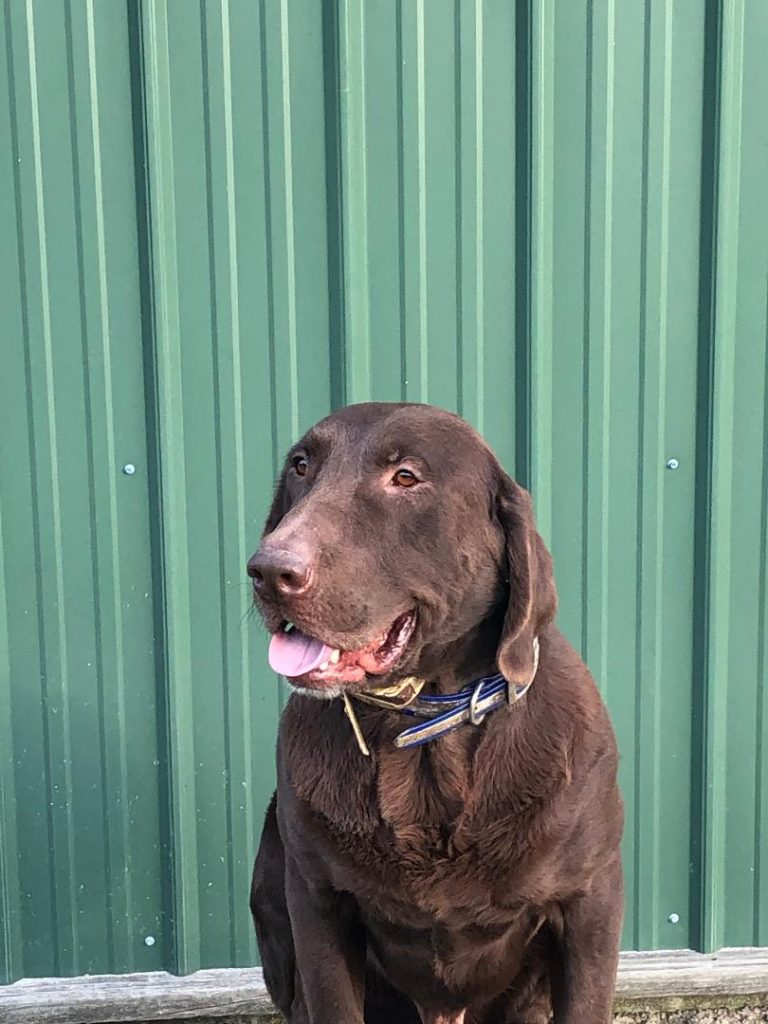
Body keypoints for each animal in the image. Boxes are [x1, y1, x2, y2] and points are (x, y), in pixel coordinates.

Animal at [249, 403, 622, 1024]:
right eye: (301, 466)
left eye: (405, 478)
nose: (270, 570)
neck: (422, 726)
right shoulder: (317, 902)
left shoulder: (590, 902)